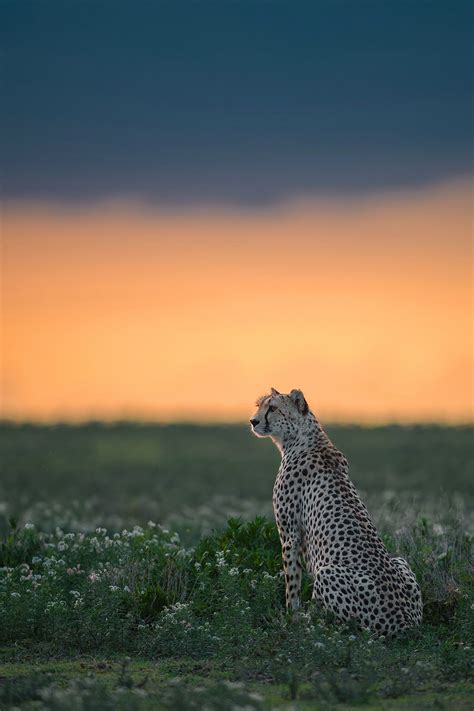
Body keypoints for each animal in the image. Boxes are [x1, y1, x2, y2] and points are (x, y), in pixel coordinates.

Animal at [250, 386, 424, 636]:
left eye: (272, 408)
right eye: (259, 406)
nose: (253, 421)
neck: (305, 436)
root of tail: (406, 622)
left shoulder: (289, 534)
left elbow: (292, 582)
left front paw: (290, 618)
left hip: (327, 573)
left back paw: (310, 619)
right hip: (400, 561)